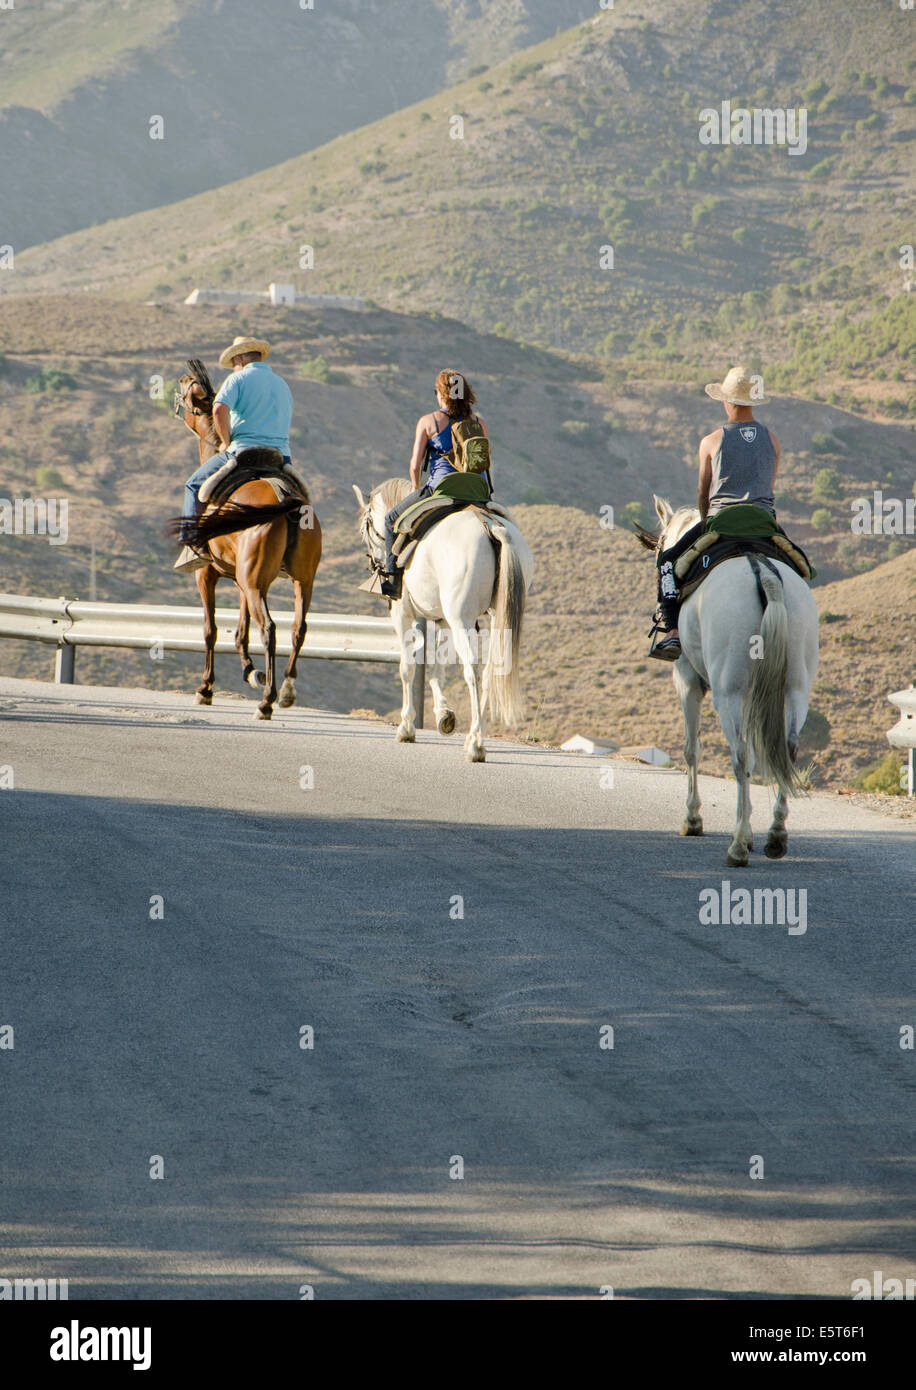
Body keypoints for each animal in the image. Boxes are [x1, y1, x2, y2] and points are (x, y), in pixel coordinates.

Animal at [170, 358, 322, 722]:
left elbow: (211, 630)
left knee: (270, 629)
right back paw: (286, 690)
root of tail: (286, 498)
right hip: (299, 581)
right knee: (298, 628)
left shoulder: (208, 575)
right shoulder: (243, 582)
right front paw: (252, 671)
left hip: (254, 583)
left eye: (187, 387)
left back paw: (267, 702)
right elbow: (241, 631)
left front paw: (206, 687)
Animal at [354, 478, 533, 761]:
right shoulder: (443, 620)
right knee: (490, 671)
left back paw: (476, 744)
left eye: (365, 528)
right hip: (496, 620)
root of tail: (491, 526)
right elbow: (437, 668)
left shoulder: (403, 614)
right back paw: (473, 735)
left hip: (462, 620)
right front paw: (444, 714)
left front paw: (406, 727)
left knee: (472, 670)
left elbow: (408, 668)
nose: (375, 564)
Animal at [642, 500, 822, 861]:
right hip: (795, 688)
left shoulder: (687, 680)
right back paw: (776, 834)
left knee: (738, 755)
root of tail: (765, 575)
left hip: (728, 692)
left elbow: (692, 750)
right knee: (788, 748)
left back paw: (737, 845)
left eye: (660, 546)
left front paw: (693, 819)